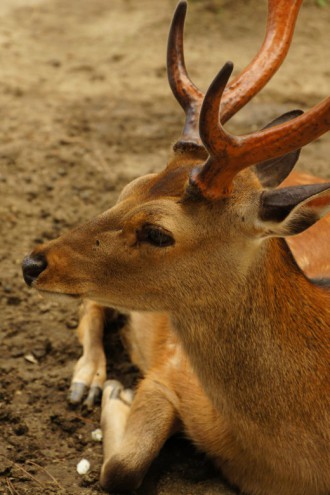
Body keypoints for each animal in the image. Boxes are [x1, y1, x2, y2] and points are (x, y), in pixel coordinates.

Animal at [21, 0, 328, 495]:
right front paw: (116, 393)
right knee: (91, 308)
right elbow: (121, 468)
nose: (31, 263)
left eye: (158, 232)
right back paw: (88, 380)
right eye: (128, 187)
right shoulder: (169, 371)